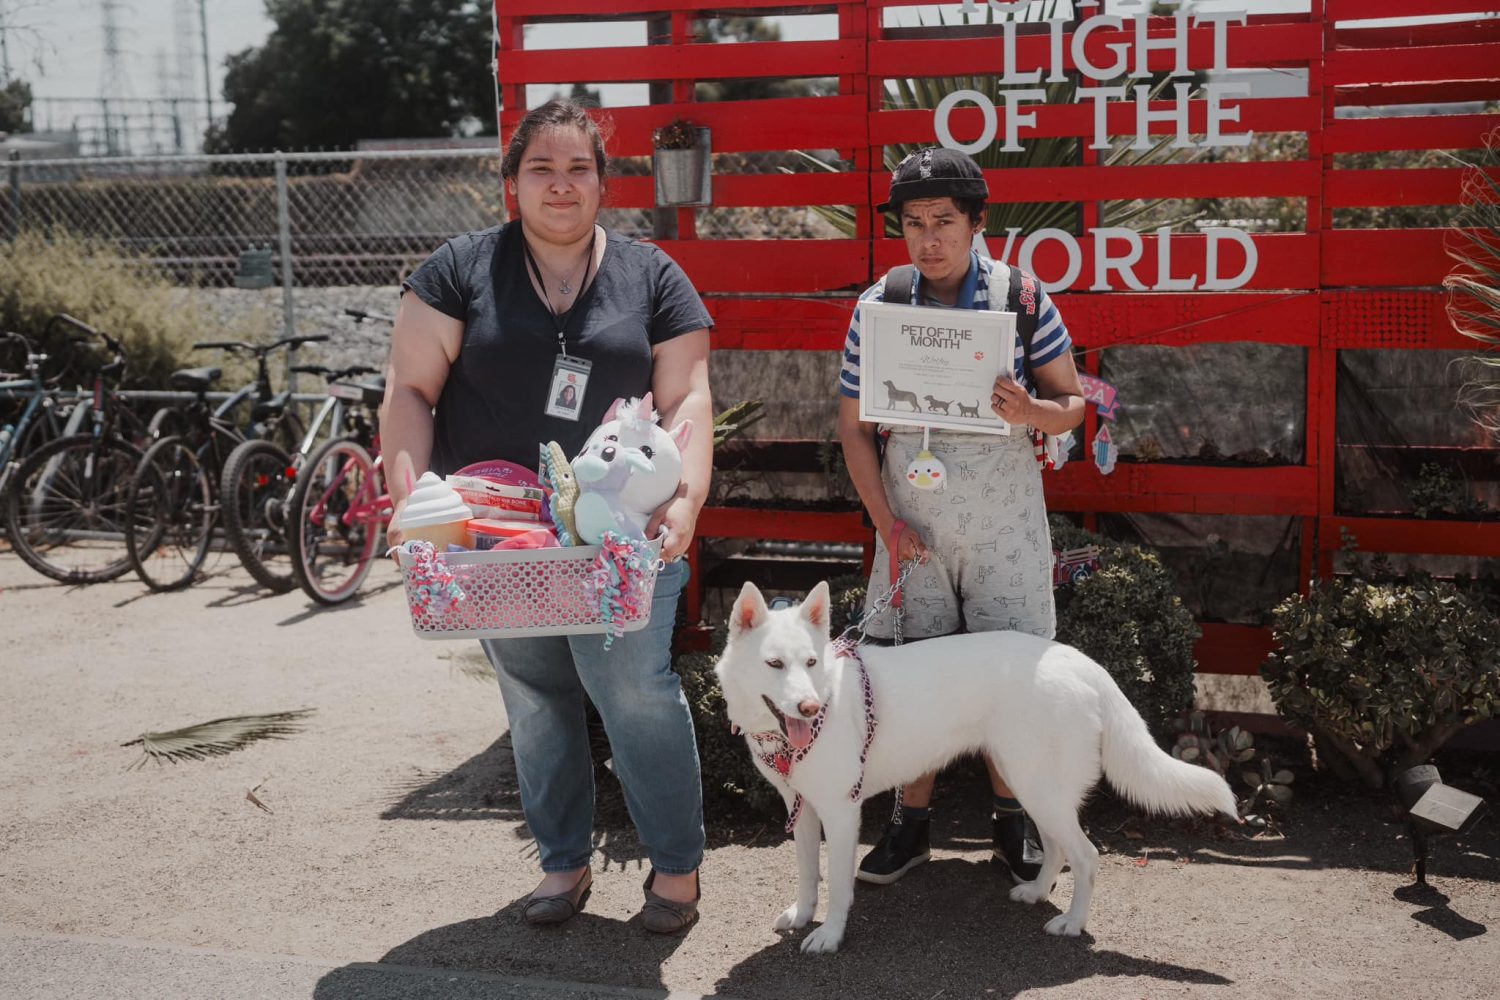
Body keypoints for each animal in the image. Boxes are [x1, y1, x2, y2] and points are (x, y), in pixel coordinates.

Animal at [720, 581, 1236, 959]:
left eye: (810, 662)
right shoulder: (802, 809)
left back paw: (1072, 923)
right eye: (774, 664)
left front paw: (829, 934)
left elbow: (838, 886)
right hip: (1030, 783)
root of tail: (1084, 663)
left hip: (1037, 787)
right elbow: (809, 874)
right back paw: (1035, 892)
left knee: (1087, 856)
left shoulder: (842, 814)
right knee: (1057, 848)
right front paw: (801, 915)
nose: (809, 707)